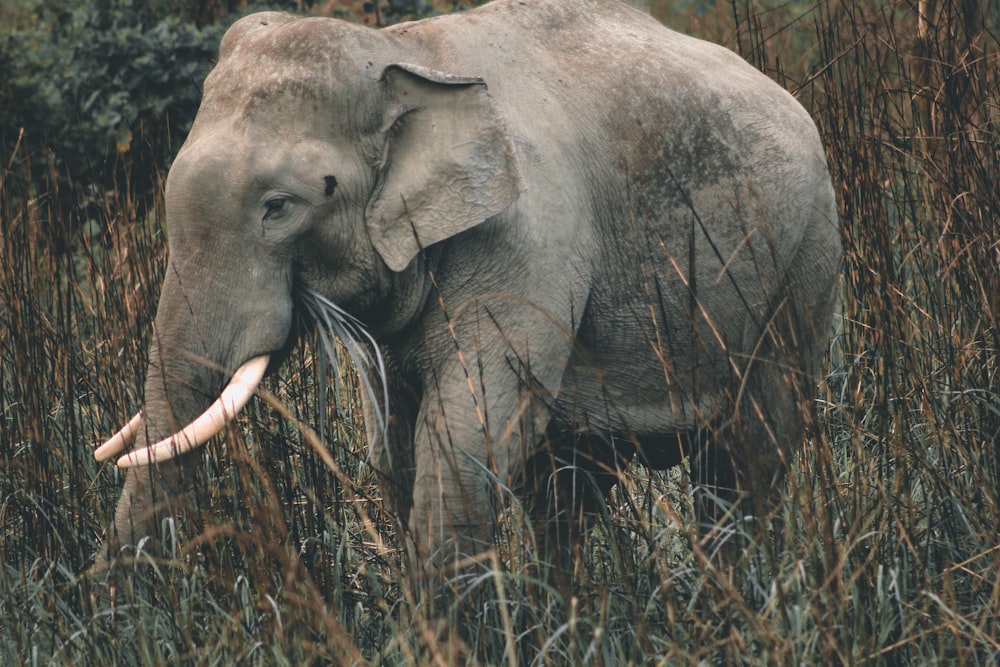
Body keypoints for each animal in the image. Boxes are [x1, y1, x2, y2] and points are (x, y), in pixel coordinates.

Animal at [94, 0, 844, 584]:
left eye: (279, 207)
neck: (405, 54)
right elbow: (397, 448)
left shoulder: (528, 240)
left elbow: (462, 439)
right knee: (568, 489)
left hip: (803, 260)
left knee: (748, 457)